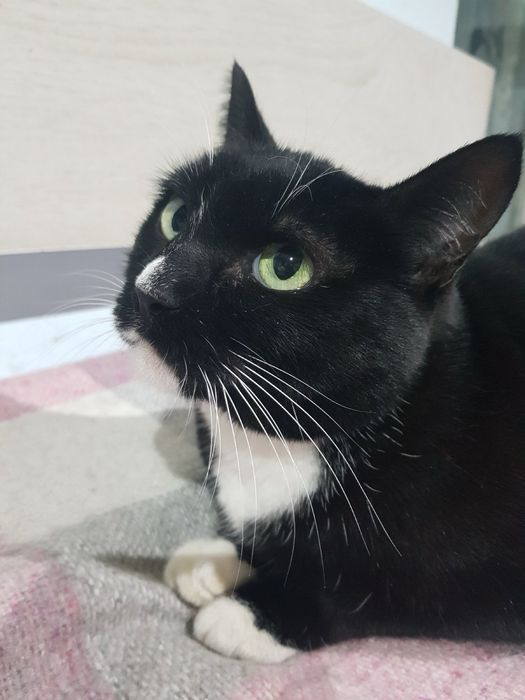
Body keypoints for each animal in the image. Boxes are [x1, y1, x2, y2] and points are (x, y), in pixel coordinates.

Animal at [114, 62, 525, 663]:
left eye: (285, 266)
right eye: (176, 216)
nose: (152, 292)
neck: (275, 443)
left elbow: (382, 590)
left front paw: (254, 613)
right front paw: (219, 557)